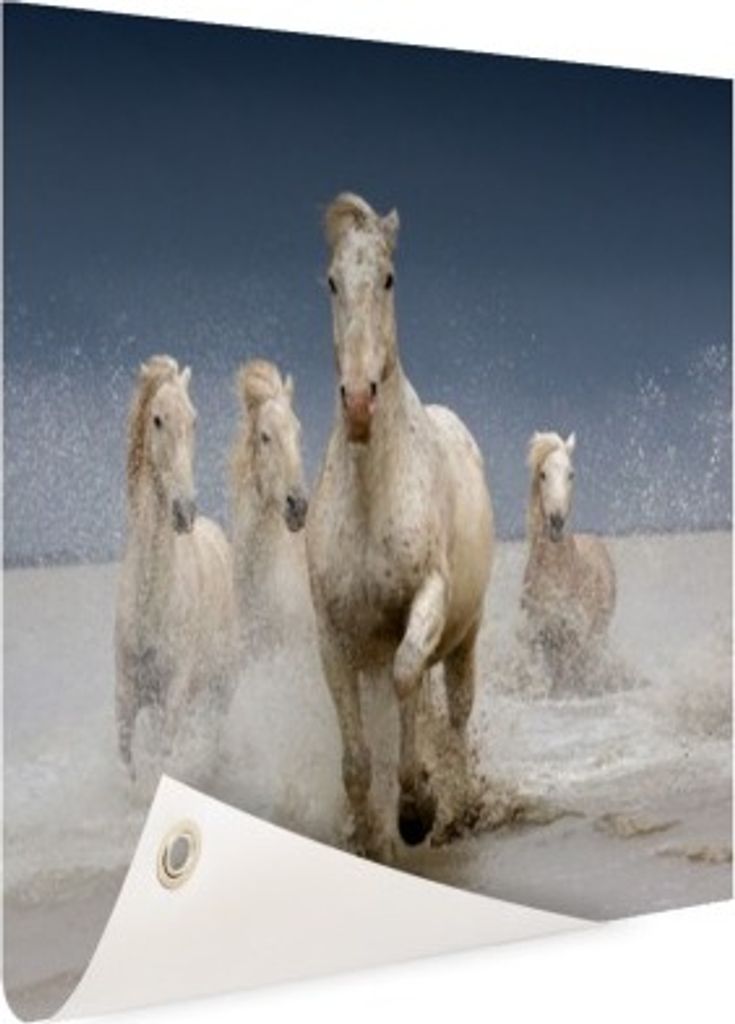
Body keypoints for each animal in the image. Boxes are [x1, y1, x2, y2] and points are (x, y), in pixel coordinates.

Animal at [115, 355, 236, 776]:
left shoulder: (175, 693)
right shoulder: (129, 694)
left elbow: (162, 762)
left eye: (194, 420)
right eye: (157, 419)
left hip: (220, 687)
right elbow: (127, 760)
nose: (184, 512)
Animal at [306, 193, 494, 857]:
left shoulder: (426, 600)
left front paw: (417, 808)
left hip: (464, 637)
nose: (359, 401)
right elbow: (357, 760)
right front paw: (366, 834)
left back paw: (455, 803)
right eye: (332, 281)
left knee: (451, 710)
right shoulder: (334, 637)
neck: (372, 492)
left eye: (388, 278)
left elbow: (408, 674)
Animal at [521, 430, 616, 692]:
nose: (556, 522)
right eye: (543, 474)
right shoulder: (538, 637)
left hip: (598, 636)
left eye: (571, 473)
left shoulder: (575, 640)